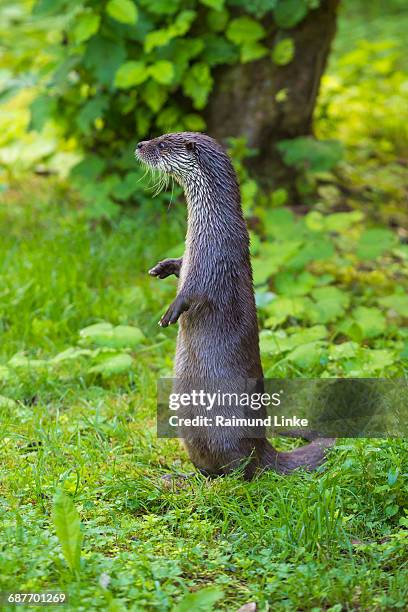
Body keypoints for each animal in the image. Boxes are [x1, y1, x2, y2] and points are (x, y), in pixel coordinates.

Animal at [137, 131, 334, 480]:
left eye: (160, 144)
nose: (139, 145)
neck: (210, 225)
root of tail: (264, 449)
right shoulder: (191, 255)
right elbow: (179, 266)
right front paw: (162, 267)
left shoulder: (213, 257)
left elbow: (194, 291)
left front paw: (171, 310)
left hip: (225, 430)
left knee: (240, 469)